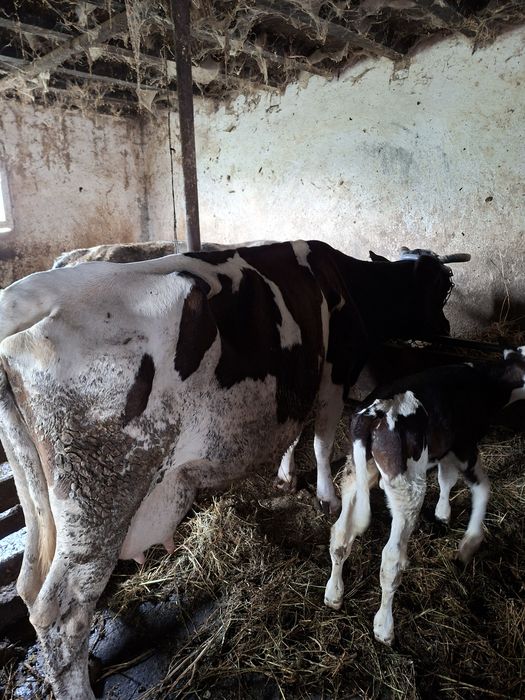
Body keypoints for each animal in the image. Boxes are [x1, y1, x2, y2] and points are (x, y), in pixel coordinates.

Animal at [0, 240, 456, 699]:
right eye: (442, 286)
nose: (447, 328)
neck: (346, 281)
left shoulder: (299, 381)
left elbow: (293, 432)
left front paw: (286, 476)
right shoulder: (332, 375)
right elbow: (322, 438)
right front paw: (325, 496)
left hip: (39, 500)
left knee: (28, 585)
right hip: (97, 497)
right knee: (63, 611)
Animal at [324, 349, 525, 646]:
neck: (488, 382)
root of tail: (373, 414)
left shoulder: (445, 450)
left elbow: (446, 478)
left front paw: (443, 514)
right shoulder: (464, 446)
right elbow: (482, 487)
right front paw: (469, 544)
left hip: (355, 471)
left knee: (339, 533)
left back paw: (334, 594)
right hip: (407, 487)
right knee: (391, 560)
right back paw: (384, 628)